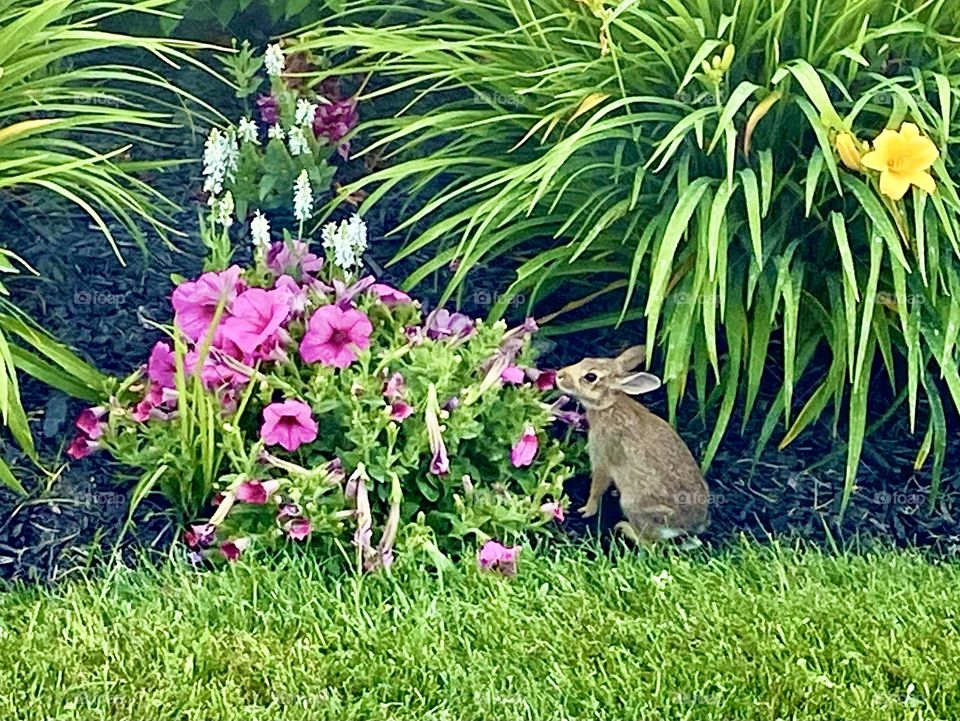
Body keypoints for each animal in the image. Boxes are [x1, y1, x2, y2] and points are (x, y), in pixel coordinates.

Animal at [555, 345, 710, 545]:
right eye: (585, 359)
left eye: (591, 377)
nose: (559, 375)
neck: (608, 406)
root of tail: (691, 527)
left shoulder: (602, 459)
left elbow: (597, 487)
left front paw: (586, 510)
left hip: (633, 505)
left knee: (650, 544)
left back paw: (625, 529)